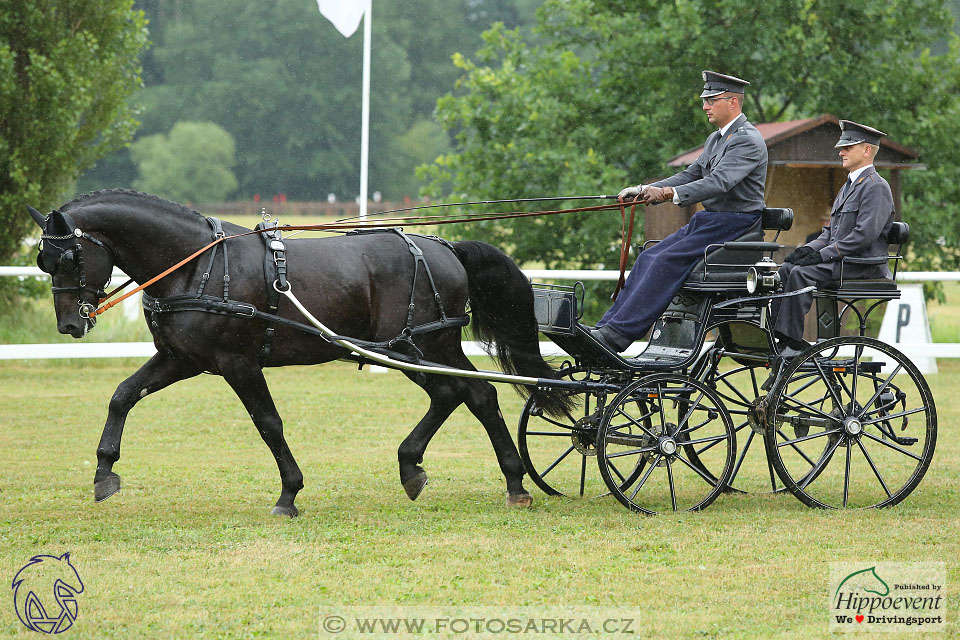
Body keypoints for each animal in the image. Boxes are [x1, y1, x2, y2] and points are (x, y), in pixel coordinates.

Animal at [28, 189, 568, 516]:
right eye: (42, 260)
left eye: (71, 256)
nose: (71, 324)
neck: (197, 265)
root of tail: (444, 248)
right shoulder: (182, 360)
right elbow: (122, 395)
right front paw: (104, 471)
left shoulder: (239, 363)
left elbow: (268, 423)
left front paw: (289, 492)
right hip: (424, 347)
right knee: (473, 396)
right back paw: (494, 479)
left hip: (416, 346)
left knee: (459, 393)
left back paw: (459, 471)